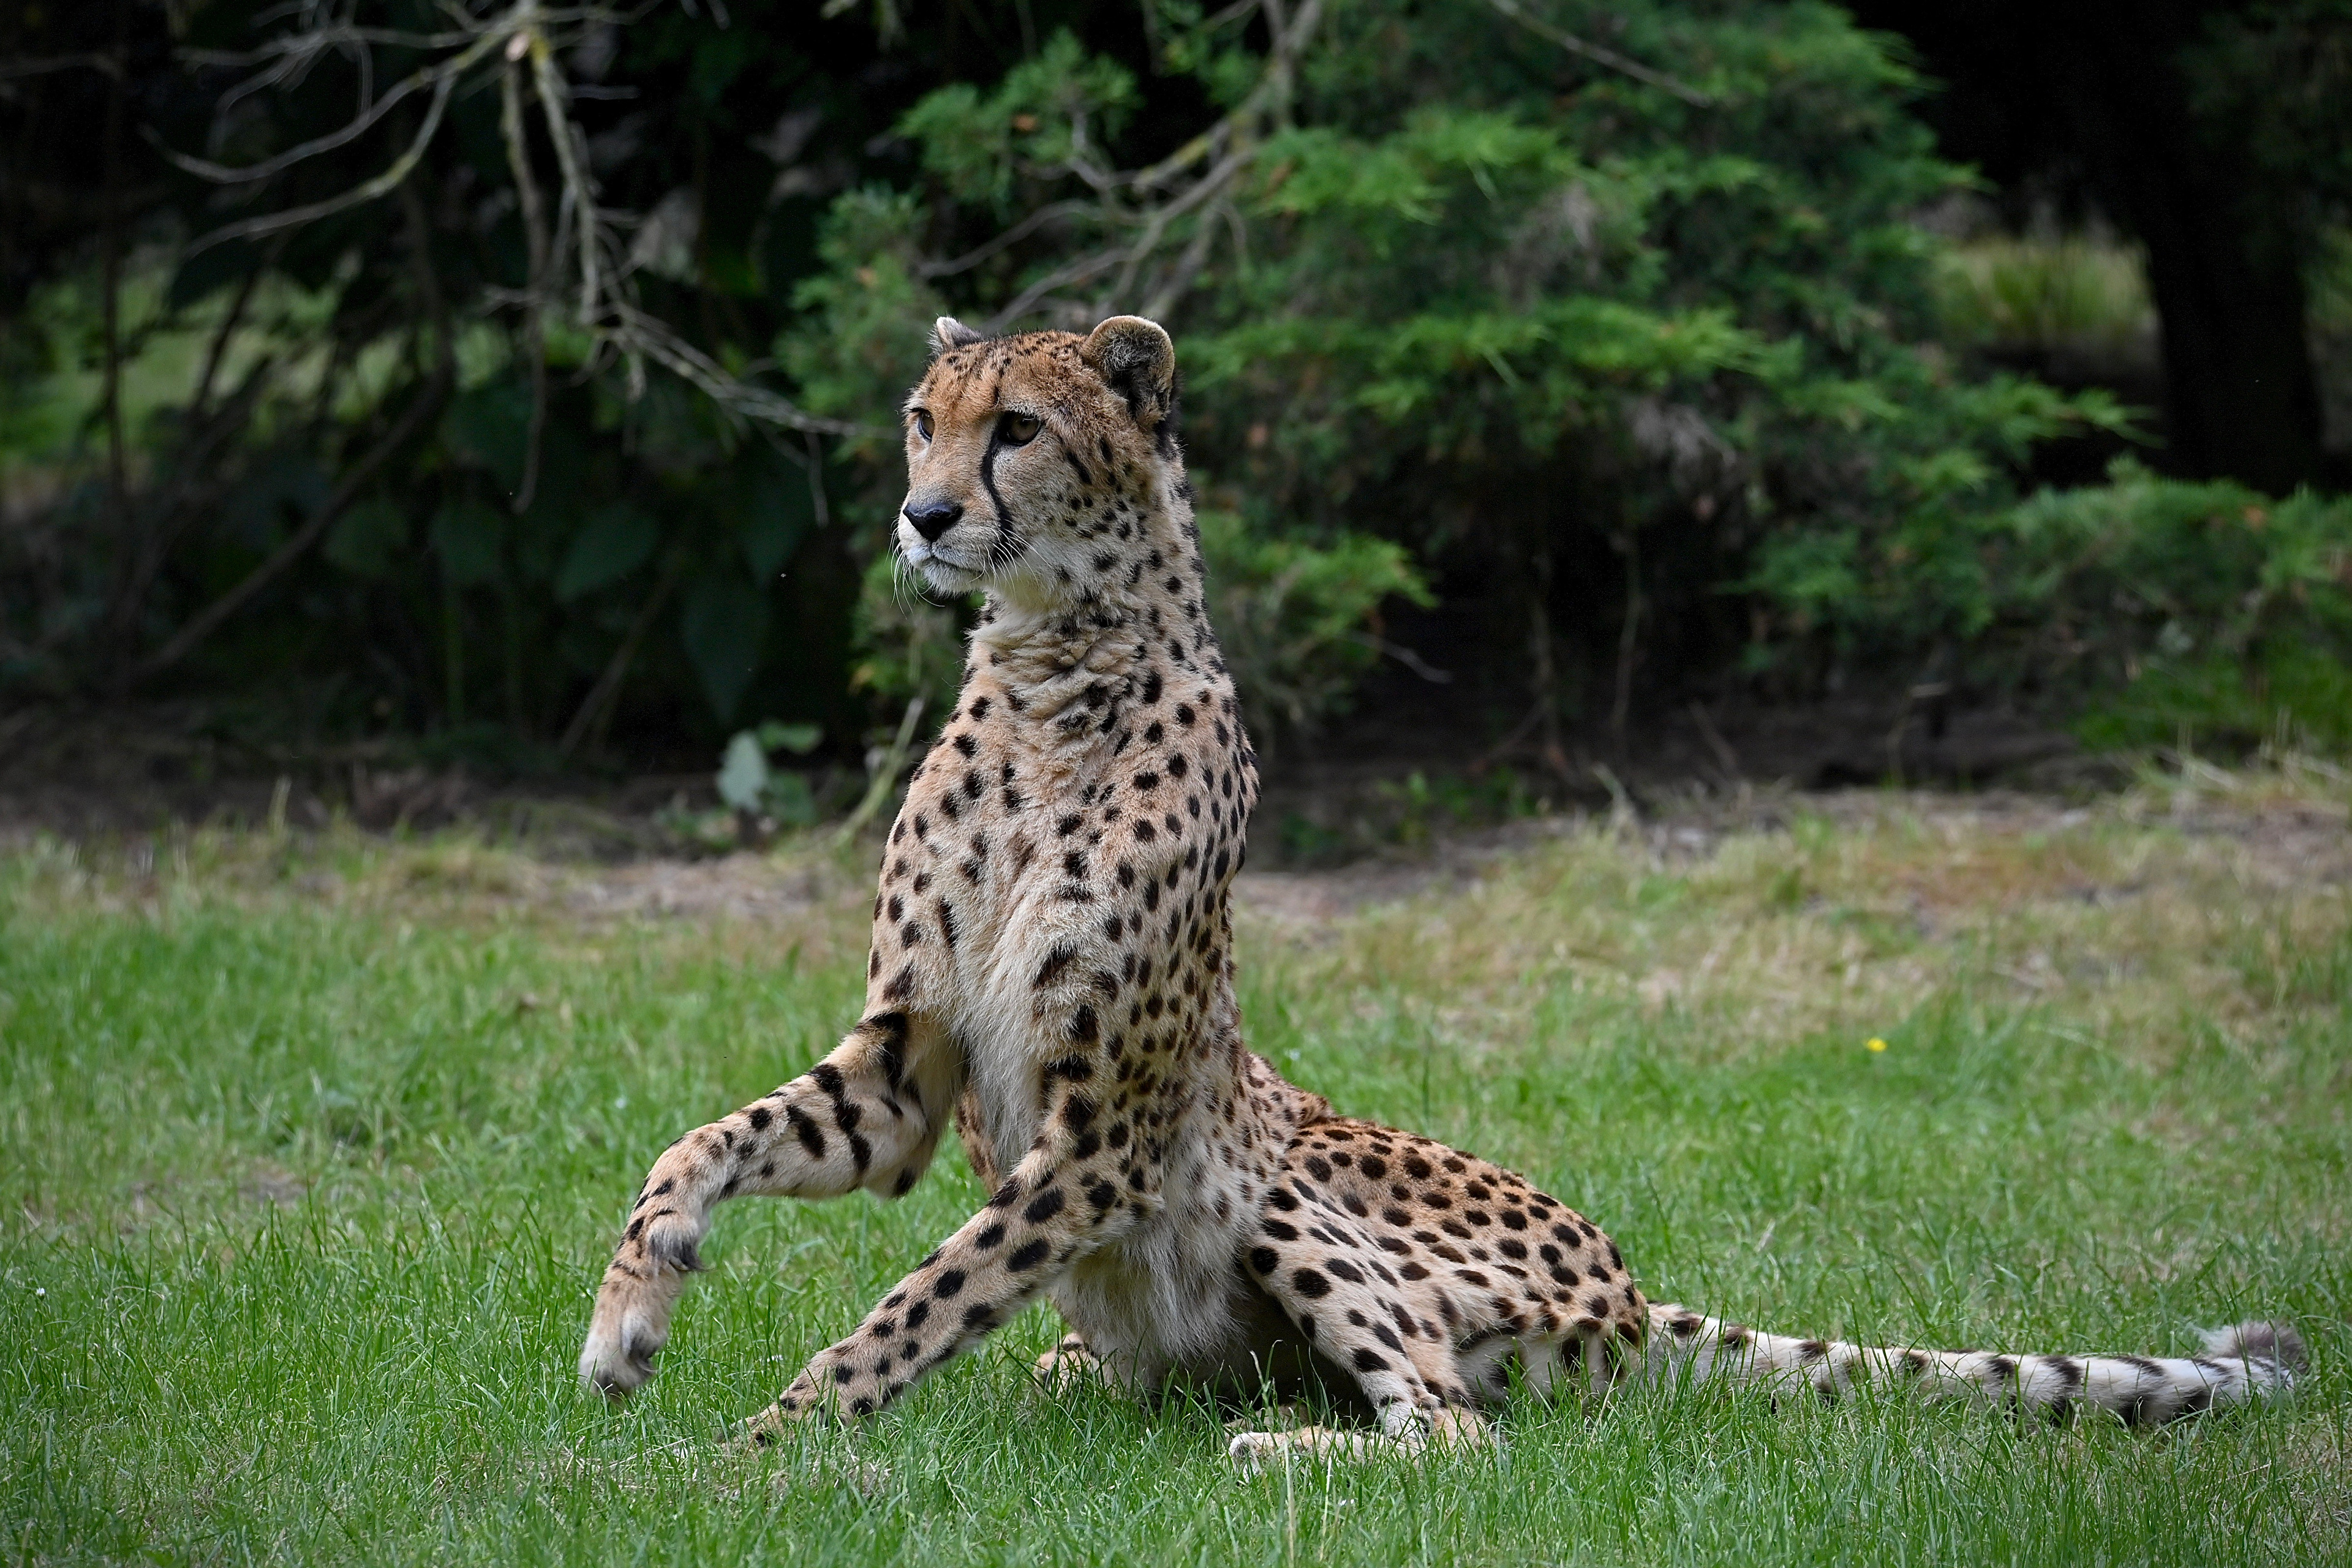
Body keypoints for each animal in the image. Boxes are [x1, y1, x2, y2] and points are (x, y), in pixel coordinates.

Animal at [578, 312, 2305, 1466]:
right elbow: (701, 1145)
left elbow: (921, 1295)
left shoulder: (1109, 1139)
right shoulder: (906, 1071)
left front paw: (768, 1439)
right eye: (920, 417)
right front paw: (632, 1316)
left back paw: (1282, 1454)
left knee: (1457, 1431)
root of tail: (1633, 1282)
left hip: (1289, 1181)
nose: (925, 515)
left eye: (1013, 428)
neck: (1049, 671)